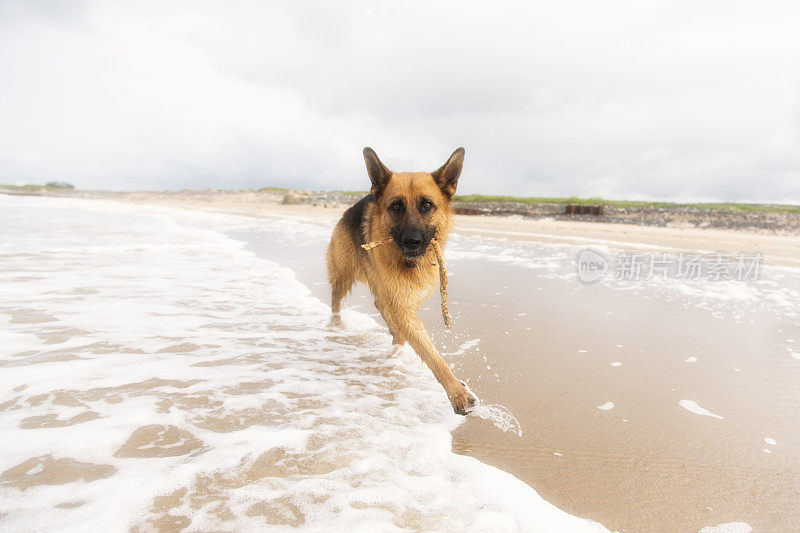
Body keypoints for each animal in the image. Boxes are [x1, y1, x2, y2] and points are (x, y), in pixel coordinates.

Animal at [328, 148, 478, 414]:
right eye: (396, 206)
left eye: (427, 205)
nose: (412, 241)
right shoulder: (401, 302)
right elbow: (432, 355)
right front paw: (457, 393)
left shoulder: (405, 299)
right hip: (344, 275)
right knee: (336, 299)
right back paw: (336, 325)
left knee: (380, 304)